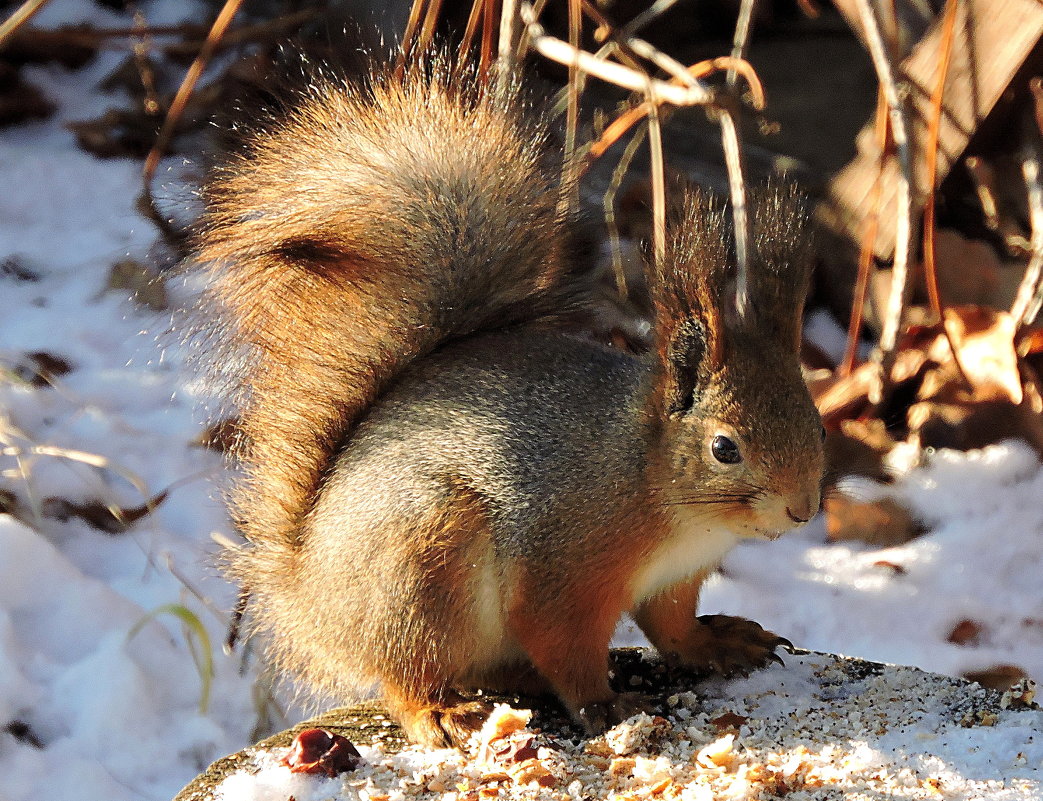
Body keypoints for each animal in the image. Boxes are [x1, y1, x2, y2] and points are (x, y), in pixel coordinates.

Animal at [191, 56, 826, 750]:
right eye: (724, 448)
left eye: (818, 426)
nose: (801, 510)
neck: (653, 483)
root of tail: (307, 596)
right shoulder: (564, 566)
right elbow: (561, 641)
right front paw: (605, 706)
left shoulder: (673, 580)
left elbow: (673, 628)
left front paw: (717, 645)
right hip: (422, 571)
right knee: (405, 677)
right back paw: (439, 710)